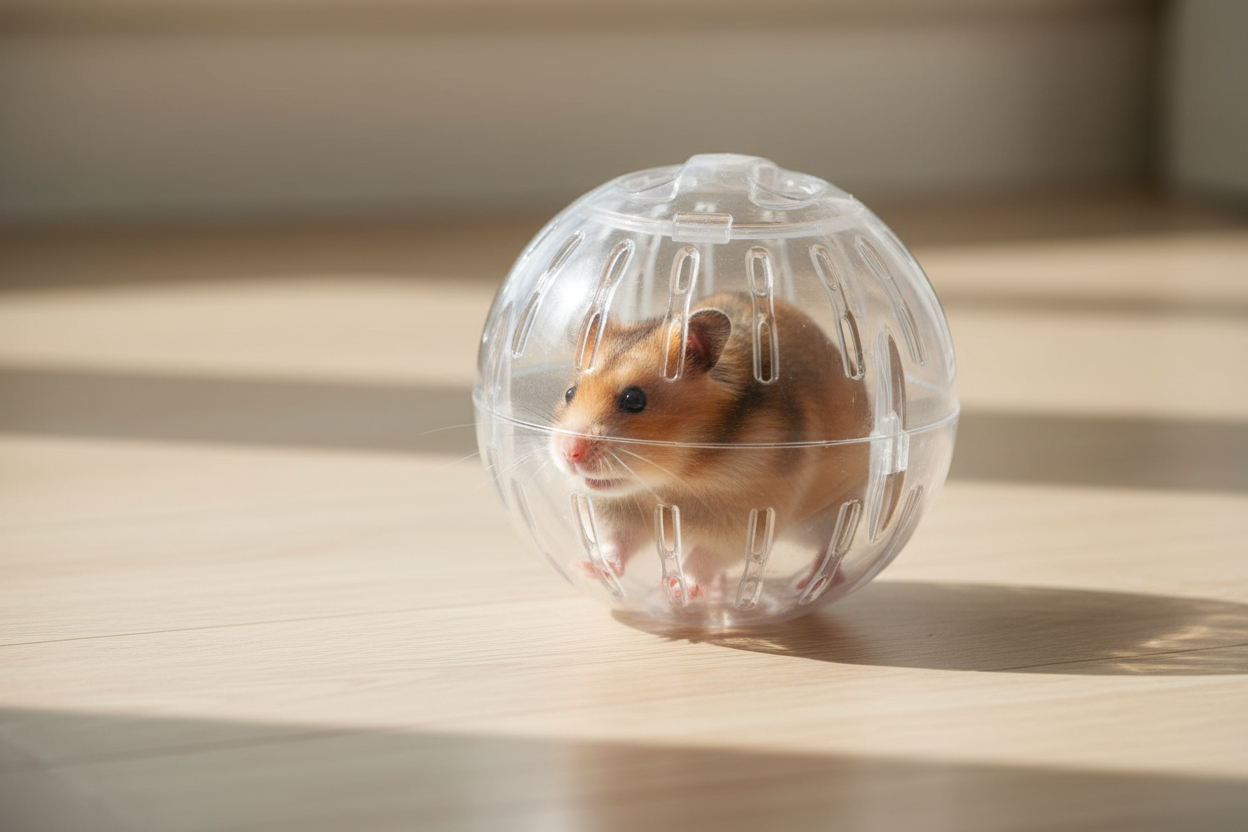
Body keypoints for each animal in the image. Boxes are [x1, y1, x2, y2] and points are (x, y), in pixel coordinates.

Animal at [551, 292, 871, 599]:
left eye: (634, 399)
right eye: (569, 393)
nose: (570, 453)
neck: (676, 478)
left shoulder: (743, 521)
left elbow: (704, 557)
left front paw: (678, 590)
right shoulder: (630, 516)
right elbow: (619, 542)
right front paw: (587, 568)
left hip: (831, 512)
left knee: (830, 548)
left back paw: (813, 583)